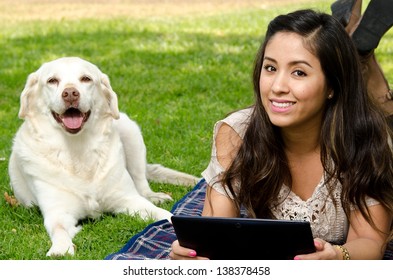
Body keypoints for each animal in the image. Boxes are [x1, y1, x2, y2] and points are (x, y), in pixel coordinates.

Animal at [8, 56, 199, 256]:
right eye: (52, 80)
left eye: (86, 79)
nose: (70, 93)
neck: (77, 149)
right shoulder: (57, 213)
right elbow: (59, 229)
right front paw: (60, 248)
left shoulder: (129, 200)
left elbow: (163, 214)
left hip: (130, 132)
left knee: (142, 184)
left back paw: (154, 195)